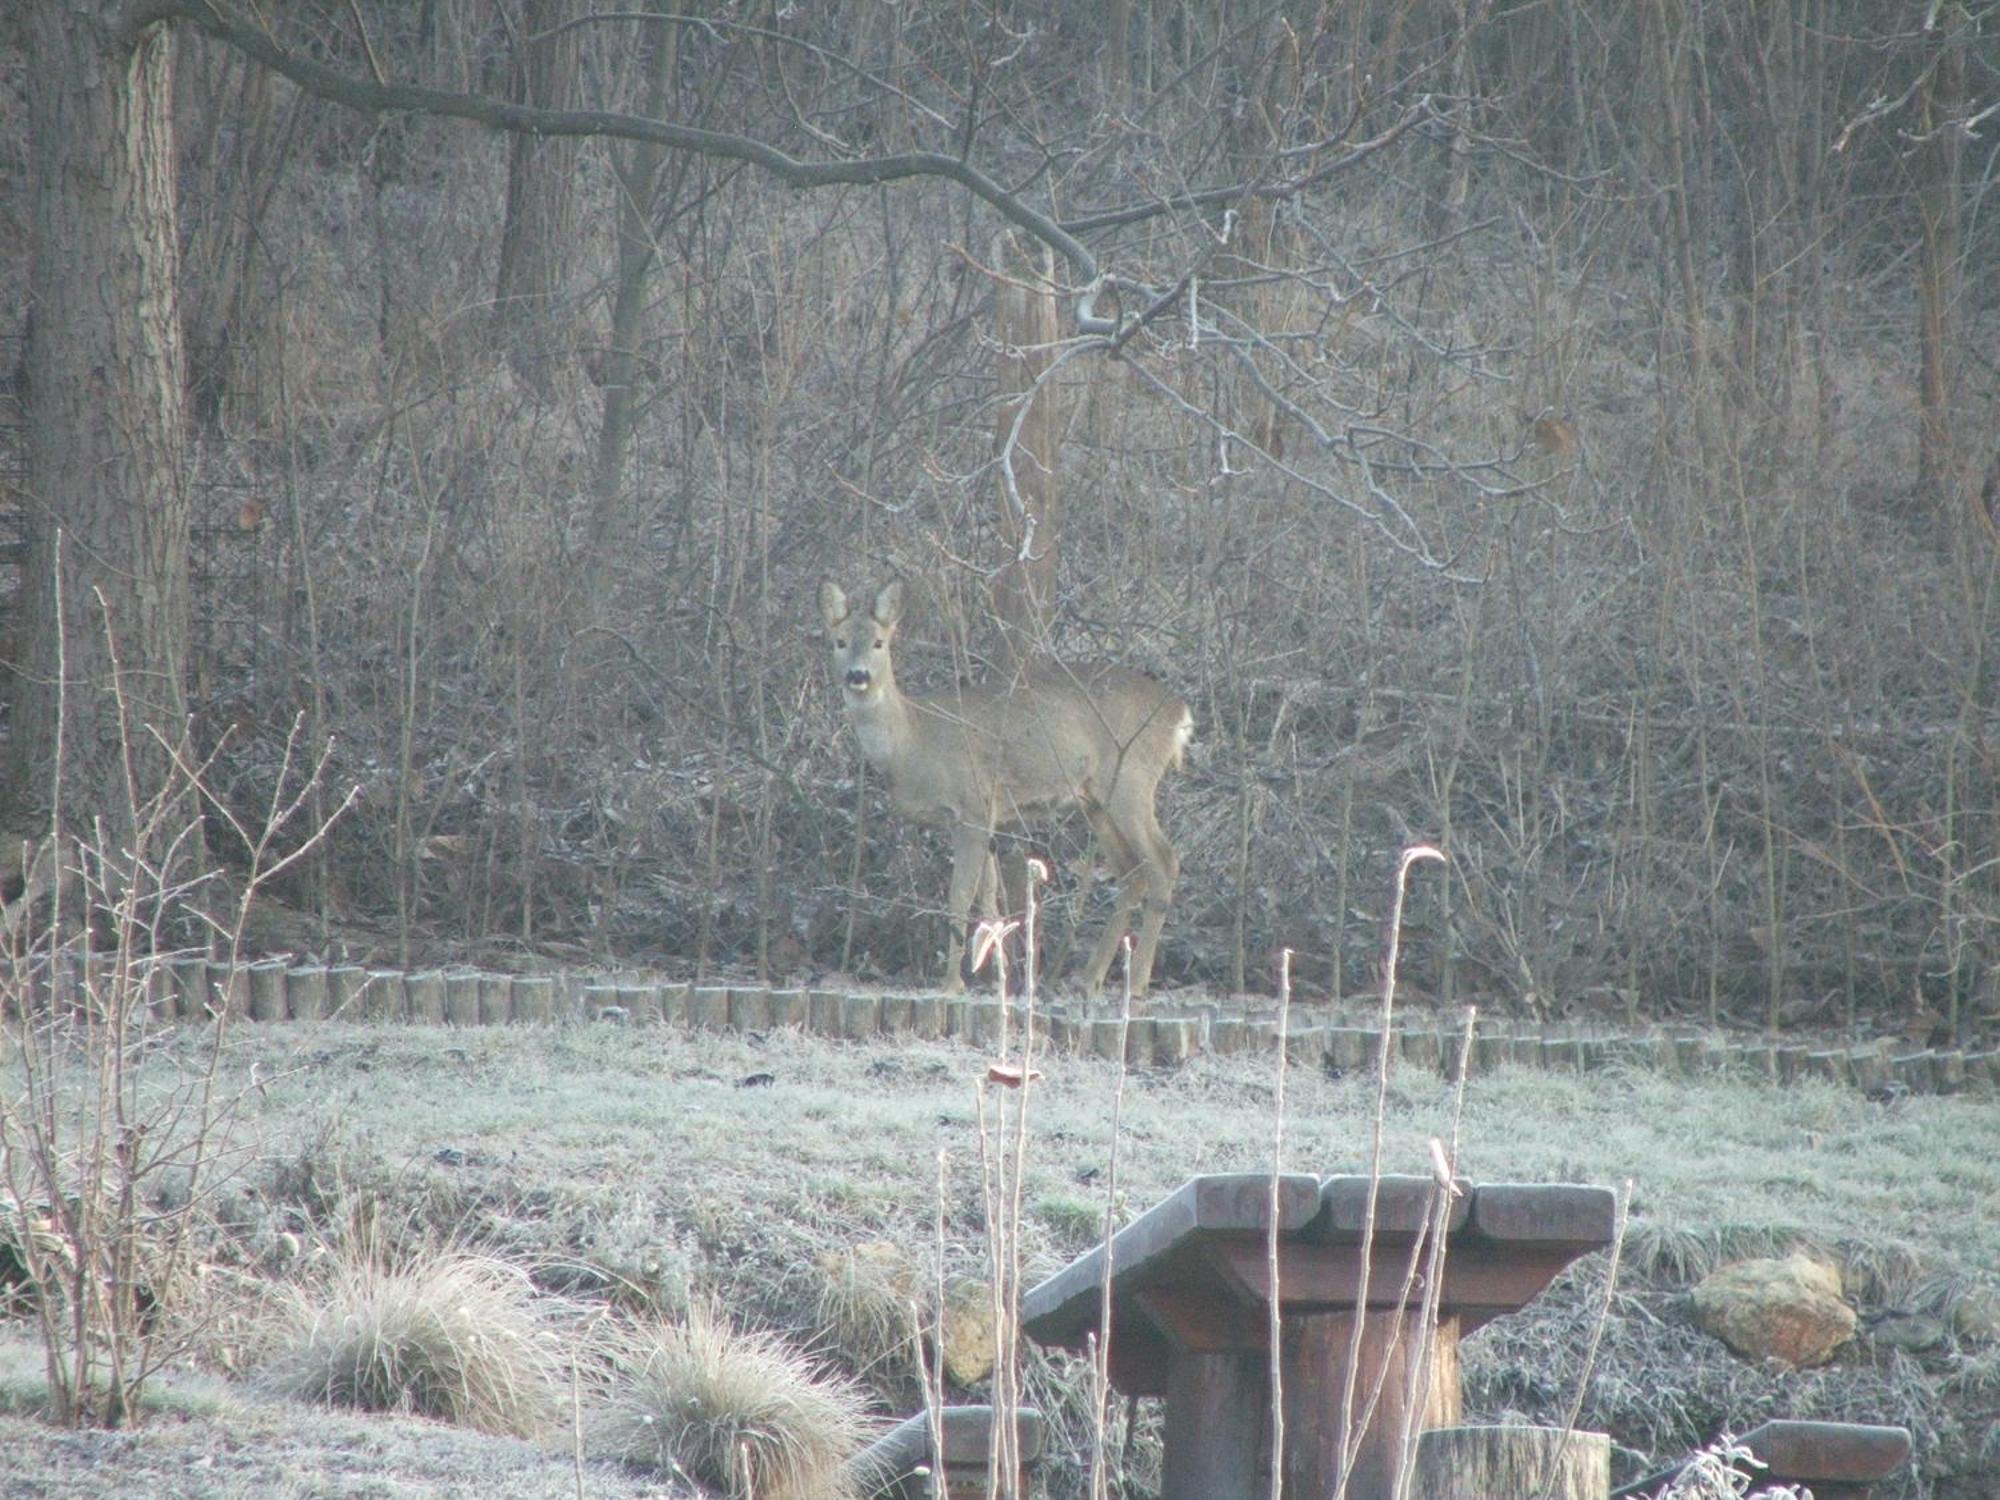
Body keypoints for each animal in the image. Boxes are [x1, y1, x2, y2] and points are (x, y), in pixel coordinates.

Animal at [820, 584, 1192, 1000]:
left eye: (879, 642)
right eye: (839, 641)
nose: (858, 675)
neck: (912, 739)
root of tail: (1179, 711)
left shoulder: (972, 807)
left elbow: (961, 896)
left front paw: (952, 983)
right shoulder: (978, 819)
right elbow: (989, 896)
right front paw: (997, 975)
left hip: (1131, 780)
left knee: (1164, 861)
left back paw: (1138, 981)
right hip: (1095, 800)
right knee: (1131, 870)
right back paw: (1090, 977)